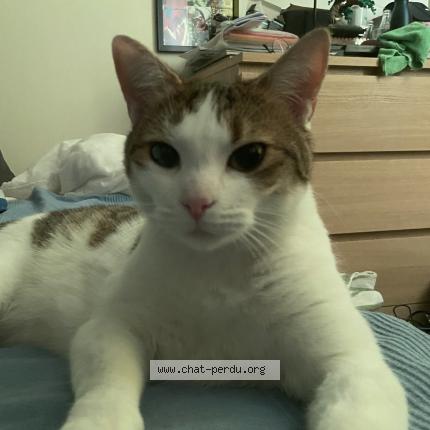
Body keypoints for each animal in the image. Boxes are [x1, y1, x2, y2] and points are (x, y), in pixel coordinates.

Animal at [0, 28, 407, 430]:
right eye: (163, 154)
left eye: (250, 156)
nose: (196, 201)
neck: (219, 269)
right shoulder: (109, 326)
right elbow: (106, 382)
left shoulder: (352, 360)